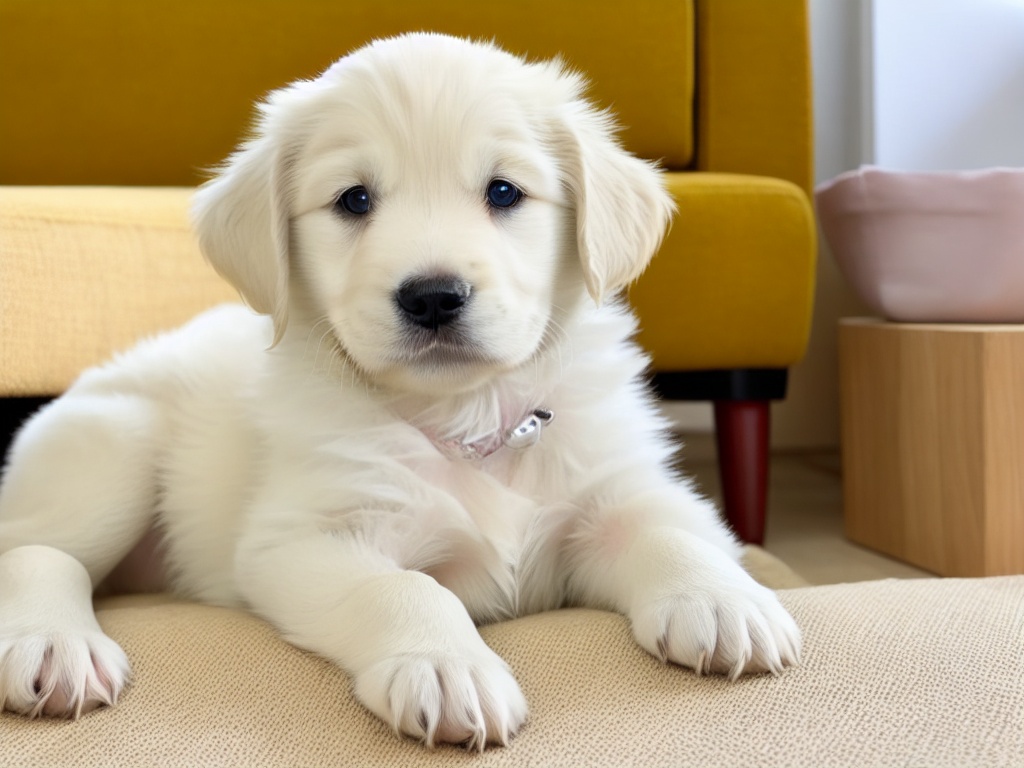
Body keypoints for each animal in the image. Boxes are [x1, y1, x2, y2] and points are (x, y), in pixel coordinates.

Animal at [0, 36, 798, 753]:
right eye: (354, 200)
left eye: (503, 191)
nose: (433, 297)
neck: (470, 421)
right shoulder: (304, 538)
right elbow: (404, 590)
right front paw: (445, 666)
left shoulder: (616, 488)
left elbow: (668, 533)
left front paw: (723, 599)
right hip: (113, 443)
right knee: (37, 550)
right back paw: (53, 644)